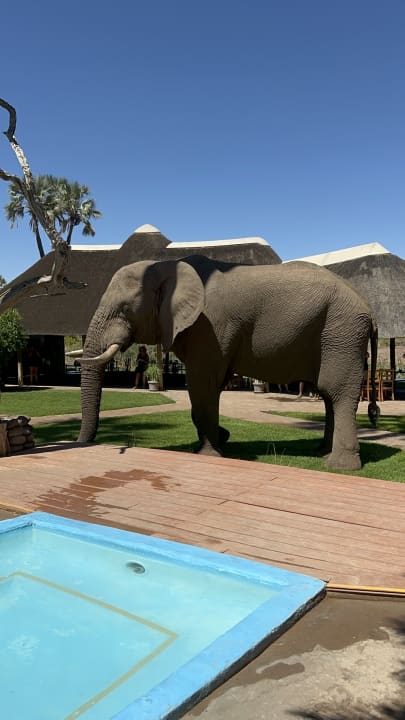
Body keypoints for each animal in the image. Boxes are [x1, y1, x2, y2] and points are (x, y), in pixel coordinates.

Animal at [74, 255, 379, 471]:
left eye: (125, 309)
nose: (80, 443)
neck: (166, 265)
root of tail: (369, 308)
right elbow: (210, 387)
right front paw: (223, 438)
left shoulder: (209, 328)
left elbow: (202, 385)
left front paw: (210, 452)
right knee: (329, 395)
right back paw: (321, 452)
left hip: (342, 331)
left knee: (337, 392)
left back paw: (340, 465)